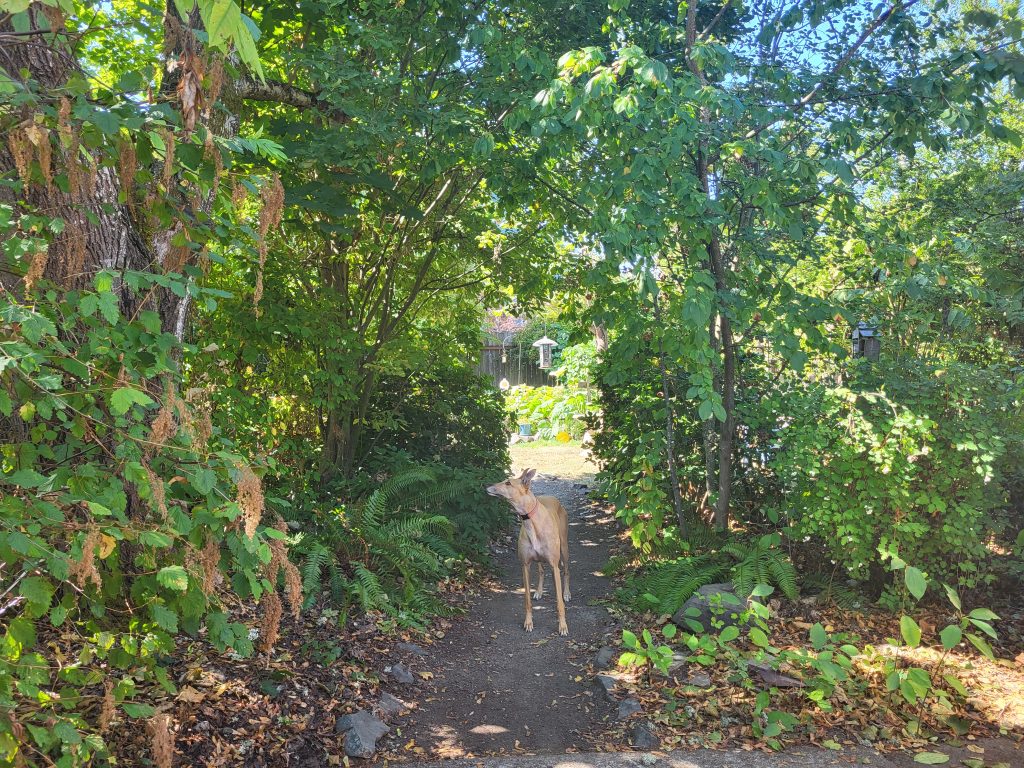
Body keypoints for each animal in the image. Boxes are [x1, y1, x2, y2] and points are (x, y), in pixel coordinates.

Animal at [485, 468, 569, 638]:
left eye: (508, 483)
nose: (487, 485)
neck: (532, 521)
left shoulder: (554, 566)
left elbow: (559, 602)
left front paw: (563, 626)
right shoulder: (525, 565)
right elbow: (527, 601)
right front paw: (528, 622)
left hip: (564, 548)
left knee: (566, 571)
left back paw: (567, 593)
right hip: (539, 559)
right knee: (541, 570)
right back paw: (539, 591)